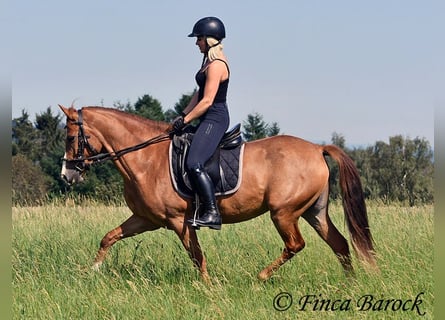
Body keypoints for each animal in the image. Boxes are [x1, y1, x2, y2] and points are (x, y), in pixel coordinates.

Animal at [59, 104, 376, 282]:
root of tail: (317, 148)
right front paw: (92, 271)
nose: (67, 175)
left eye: (71, 137)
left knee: (296, 245)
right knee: (340, 244)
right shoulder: (146, 219)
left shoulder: (178, 221)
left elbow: (196, 255)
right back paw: (350, 286)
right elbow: (108, 237)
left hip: (284, 213)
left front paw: (208, 287)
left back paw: (261, 277)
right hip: (314, 212)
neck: (146, 158)